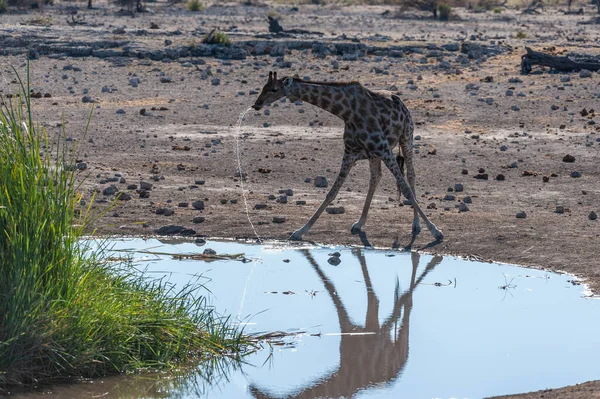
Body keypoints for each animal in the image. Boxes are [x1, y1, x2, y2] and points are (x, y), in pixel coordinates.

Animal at [251, 72, 442, 247]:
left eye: (274, 89)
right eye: (263, 88)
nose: (256, 104)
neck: (346, 111)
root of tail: (401, 103)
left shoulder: (383, 148)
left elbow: (406, 189)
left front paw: (436, 231)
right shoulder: (351, 152)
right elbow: (332, 192)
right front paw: (300, 231)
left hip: (406, 138)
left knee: (410, 175)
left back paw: (416, 225)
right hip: (374, 154)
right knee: (375, 177)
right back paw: (359, 224)